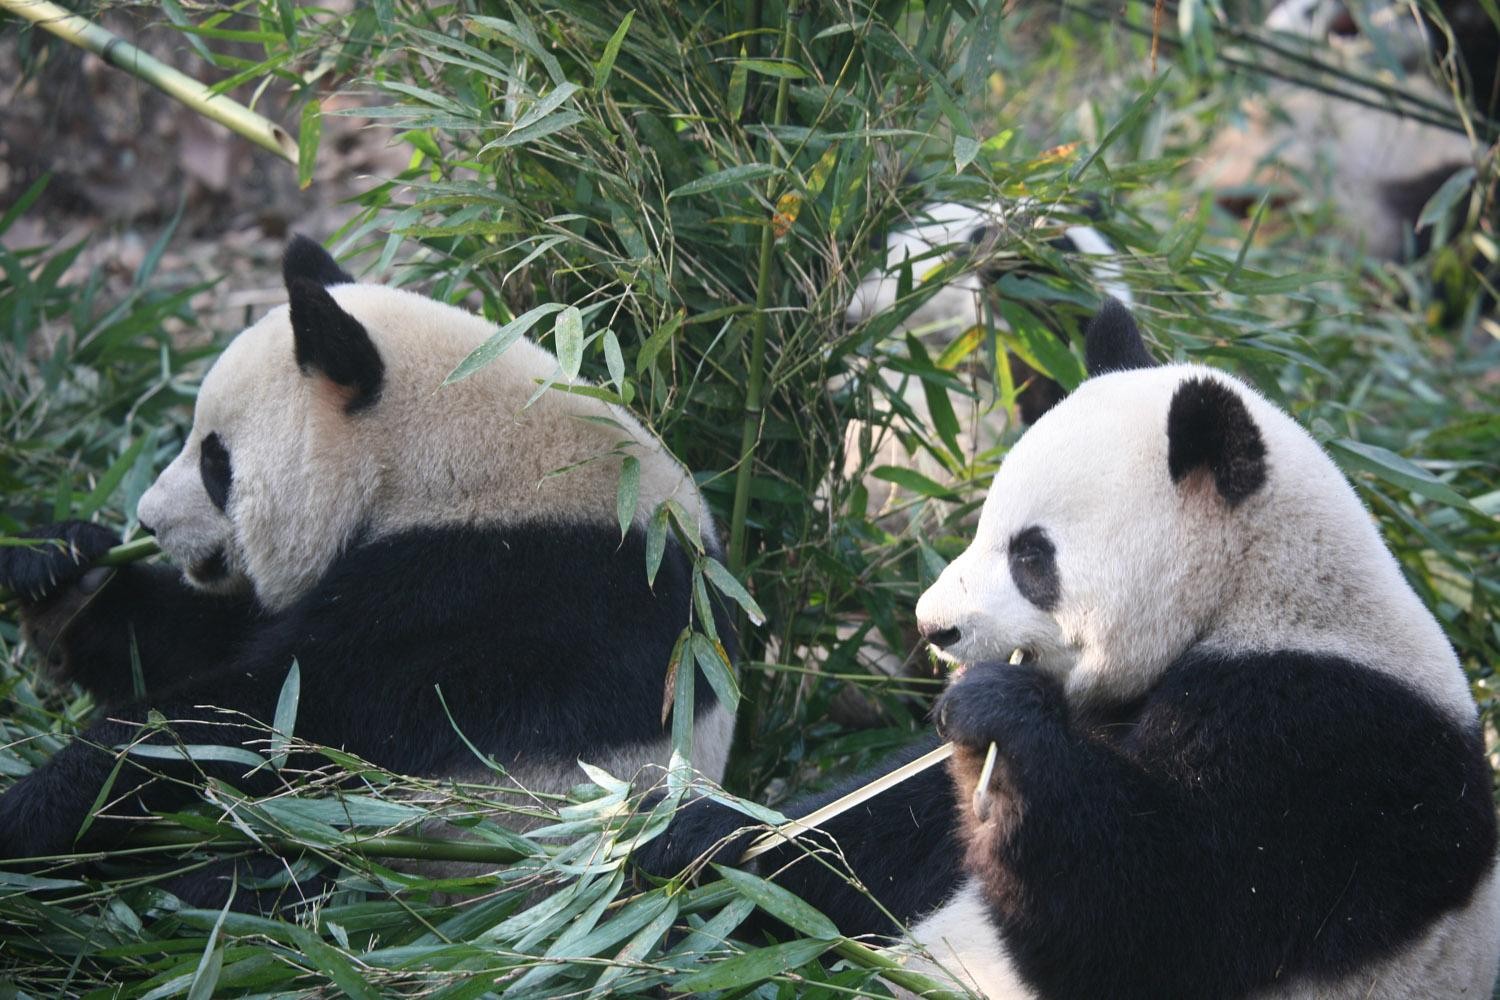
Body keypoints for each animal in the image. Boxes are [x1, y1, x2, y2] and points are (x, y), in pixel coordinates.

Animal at [0, 236, 736, 904]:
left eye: (215, 463)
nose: (149, 521)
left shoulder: (492, 591)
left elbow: (273, 718)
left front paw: (37, 809)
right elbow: (199, 644)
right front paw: (61, 570)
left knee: (280, 880)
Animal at [638, 299, 1499, 999]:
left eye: (1032, 556)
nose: (933, 627)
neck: (1254, 595)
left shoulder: (1319, 747)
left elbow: (1150, 921)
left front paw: (998, 714)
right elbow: (880, 832)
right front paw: (694, 836)